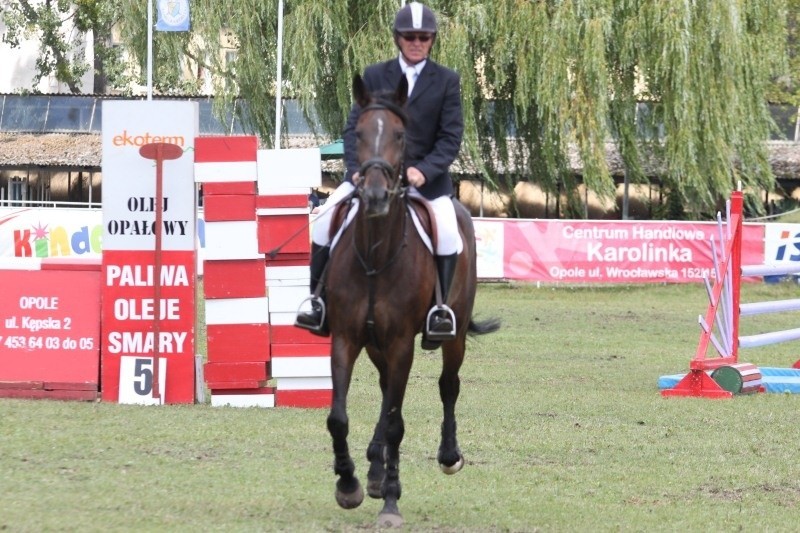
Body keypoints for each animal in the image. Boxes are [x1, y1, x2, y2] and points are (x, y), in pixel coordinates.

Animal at [322, 75, 496, 528]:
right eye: (359, 133)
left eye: (400, 135)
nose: (376, 195)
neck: (376, 255)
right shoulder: (347, 338)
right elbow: (339, 416)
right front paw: (349, 484)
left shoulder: (402, 341)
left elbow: (398, 424)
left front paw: (390, 502)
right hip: (376, 345)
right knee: (387, 392)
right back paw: (374, 468)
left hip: (452, 336)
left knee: (447, 385)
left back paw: (448, 456)